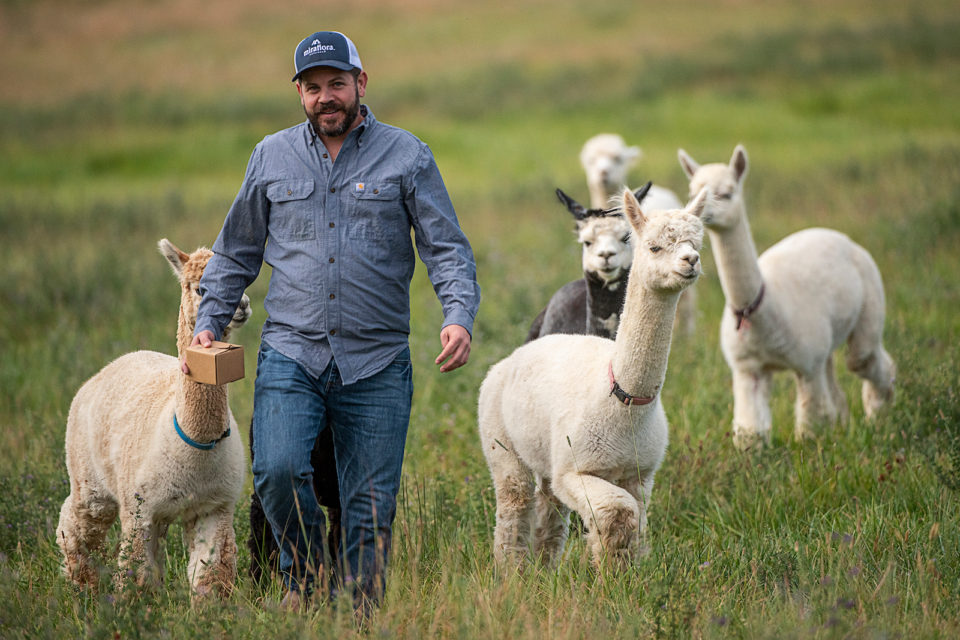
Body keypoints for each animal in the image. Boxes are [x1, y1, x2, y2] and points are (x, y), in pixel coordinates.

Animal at [56, 239, 252, 600]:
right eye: (200, 287)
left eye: (242, 283)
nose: (242, 306)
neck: (194, 442)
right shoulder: (139, 509)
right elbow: (137, 574)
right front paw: (134, 608)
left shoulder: (215, 507)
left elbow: (211, 575)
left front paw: (211, 611)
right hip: (89, 474)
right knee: (75, 520)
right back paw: (83, 585)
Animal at [479, 183, 706, 569]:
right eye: (653, 246)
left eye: (697, 244)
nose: (690, 261)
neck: (622, 401)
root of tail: (510, 359)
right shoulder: (576, 470)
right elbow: (617, 514)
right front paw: (608, 575)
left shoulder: (639, 474)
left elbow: (633, 526)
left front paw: (625, 575)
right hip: (500, 439)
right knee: (514, 502)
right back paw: (511, 572)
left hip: (547, 455)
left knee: (548, 507)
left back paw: (544, 570)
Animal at [678, 144, 896, 450]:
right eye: (691, 192)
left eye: (727, 192)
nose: (699, 215)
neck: (760, 310)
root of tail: (841, 237)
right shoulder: (747, 368)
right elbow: (750, 431)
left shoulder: (807, 364)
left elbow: (813, 422)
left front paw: (813, 448)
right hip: (825, 341)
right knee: (836, 379)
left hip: (870, 298)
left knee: (863, 358)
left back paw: (879, 416)